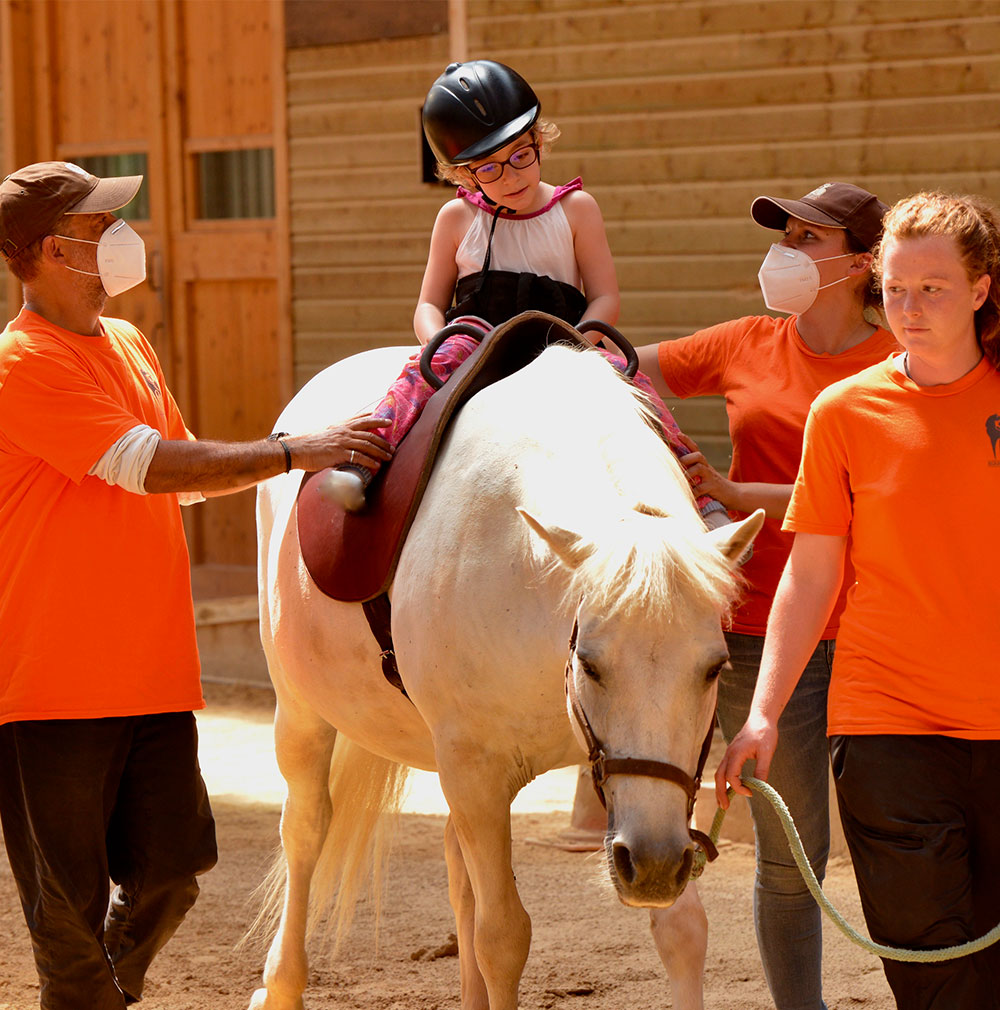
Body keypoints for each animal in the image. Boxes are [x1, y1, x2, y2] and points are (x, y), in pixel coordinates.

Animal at [248, 341, 759, 1010]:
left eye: (714, 668)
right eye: (590, 663)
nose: (648, 865)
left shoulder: (661, 806)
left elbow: (682, 928)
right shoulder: (476, 773)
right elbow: (503, 937)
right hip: (302, 711)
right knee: (306, 829)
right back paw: (280, 981)